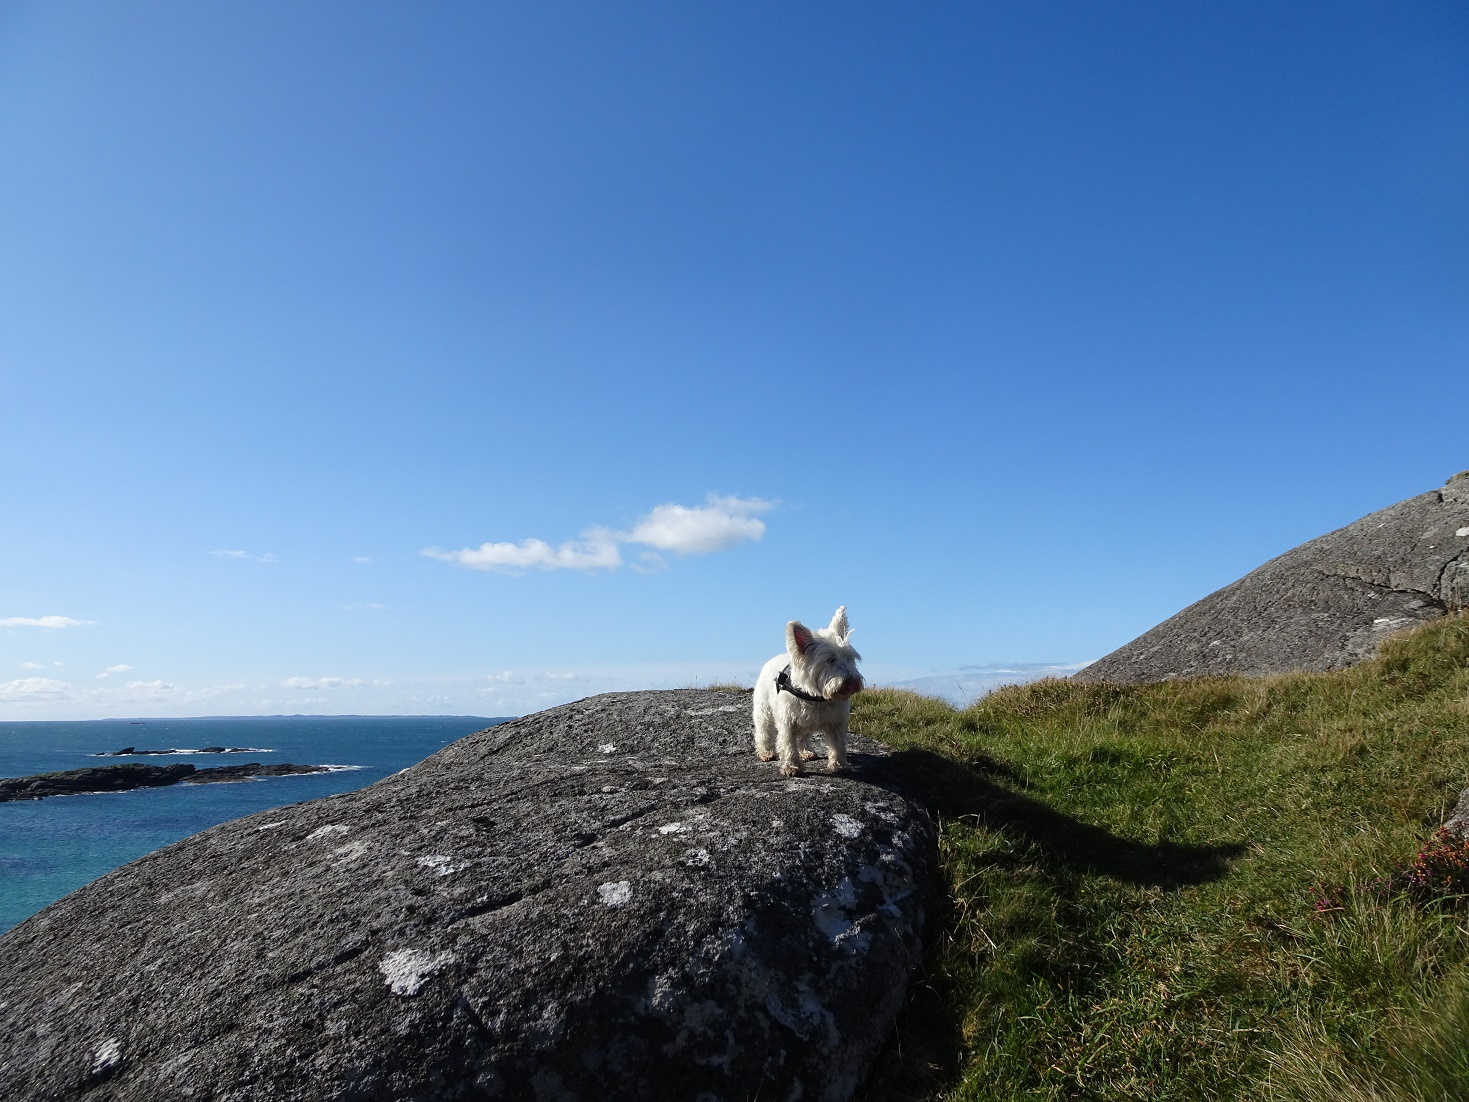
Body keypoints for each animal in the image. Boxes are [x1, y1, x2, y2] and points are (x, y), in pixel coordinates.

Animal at [758, 614, 857, 775]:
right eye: (830, 660)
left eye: (850, 657)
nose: (853, 682)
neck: (816, 697)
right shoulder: (788, 722)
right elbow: (788, 745)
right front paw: (791, 767)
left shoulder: (836, 722)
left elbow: (838, 745)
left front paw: (839, 765)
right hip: (763, 711)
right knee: (764, 732)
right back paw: (766, 752)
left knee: (803, 737)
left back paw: (806, 752)